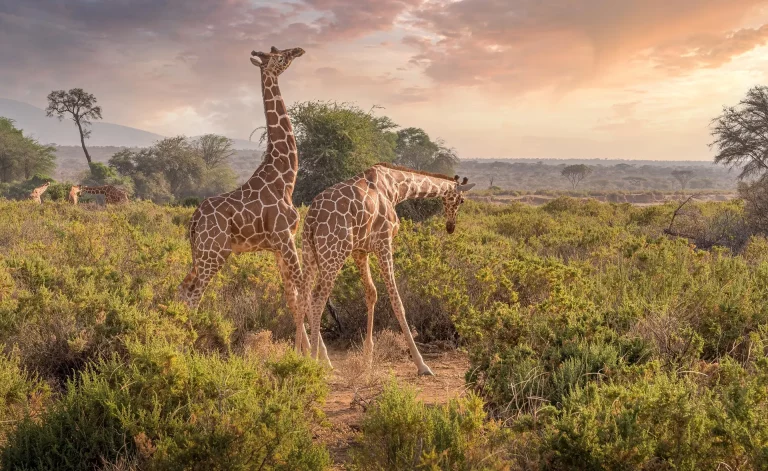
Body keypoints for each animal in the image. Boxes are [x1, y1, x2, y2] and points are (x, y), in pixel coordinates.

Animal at [177, 46, 329, 362]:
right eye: (280, 55)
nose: (298, 50)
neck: (285, 178)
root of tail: (194, 220)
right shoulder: (285, 239)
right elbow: (303, 291)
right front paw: (319, 358)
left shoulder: (278, 246)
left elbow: (292, 297)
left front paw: (301, 353)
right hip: (215, 254)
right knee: (195, 294)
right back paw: (186, 349)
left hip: (200, 254)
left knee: (183, 289)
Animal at [301, 163, 476, 375]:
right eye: (461, 200)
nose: (451, 227)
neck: (395, 187)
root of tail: (311, 218)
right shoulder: (384, 242)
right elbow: (397, 301)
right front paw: (422, 365)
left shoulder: (360, 250)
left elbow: (371, 293)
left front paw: (368, 358)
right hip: (334, 253)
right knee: (317, 297)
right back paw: (315, 361)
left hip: (309, 252)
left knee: (304, 296)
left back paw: (307, 356)